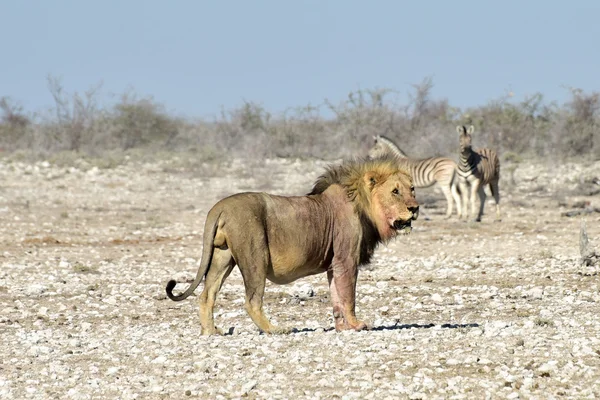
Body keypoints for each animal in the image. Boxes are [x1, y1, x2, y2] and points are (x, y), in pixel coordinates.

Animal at [164, 156, 418, 334]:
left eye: (412, 189)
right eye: (395, 191)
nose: (415, 208)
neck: (362, 204)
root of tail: (220, 206)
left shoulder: (334, 264)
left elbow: (336, 298)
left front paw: (342, 328)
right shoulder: (346, 260)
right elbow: (349, 297)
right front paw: (357, 325)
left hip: (222, 258)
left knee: (207, 295)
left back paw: (210, 332)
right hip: (255, 256)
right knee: (252, 300)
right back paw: (275, 330)